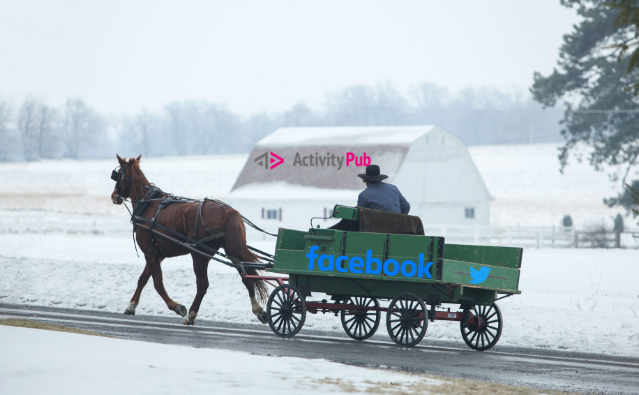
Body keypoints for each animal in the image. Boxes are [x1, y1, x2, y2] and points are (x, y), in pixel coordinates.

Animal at [112, 155, 268, 324]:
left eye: (118, 174)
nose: (113, 196)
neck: (148, 205)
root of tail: (228, 211)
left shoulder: (151, 254)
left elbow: (157, 284)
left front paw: (176, 306)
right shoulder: (157, 254)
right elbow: (142, 279)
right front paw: (131, 306)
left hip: (199, 254)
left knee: (203, 285)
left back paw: (191, 315)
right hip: (231, 249)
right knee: (246, 276)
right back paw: (258, 310)